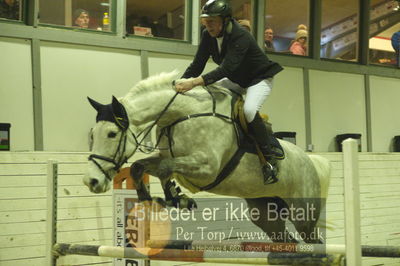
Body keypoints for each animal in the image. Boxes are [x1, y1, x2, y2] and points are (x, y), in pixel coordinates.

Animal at [83, 70, 330, 243]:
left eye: (112, 134)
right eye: (92, 134)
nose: (91, 181)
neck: (180, 114)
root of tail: (311, 161)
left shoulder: (207, 168)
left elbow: (165, 168)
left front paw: (176, 197)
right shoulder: (168, 157)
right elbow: (140, 167)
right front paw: (153, 199)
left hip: (303, 215)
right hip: (265, 214)